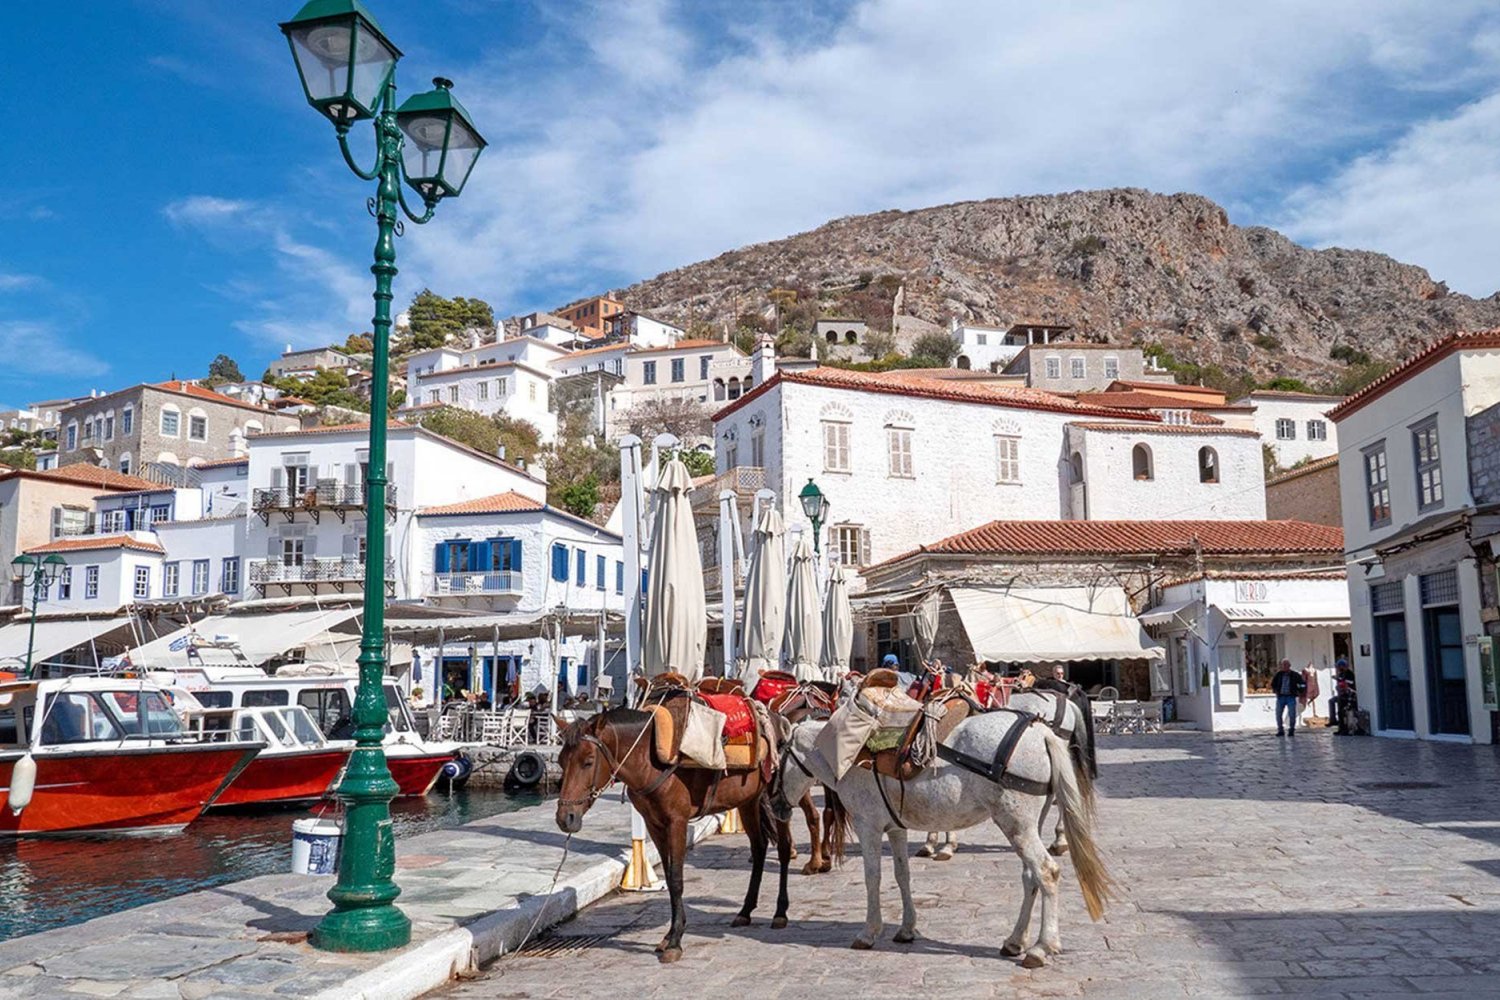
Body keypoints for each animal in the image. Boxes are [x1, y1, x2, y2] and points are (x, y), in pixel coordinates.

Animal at [555, 707, 792, 965]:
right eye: (560, 761)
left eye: (588, 761)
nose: (565, 817)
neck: (650, 761)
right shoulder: (654, 825)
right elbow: (669, 879)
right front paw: (668, 936)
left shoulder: (677, 823)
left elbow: (677, 880)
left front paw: (675, 941)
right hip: (748, 801)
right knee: (759, 848)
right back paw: (745, 911)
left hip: (778, 798)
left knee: (783, 849)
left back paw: (780, 913)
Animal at [774, 716, 1116, 965]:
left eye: (778, 757)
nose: (774, 803)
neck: (850, 755)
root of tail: (1041, 732)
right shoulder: (895, 829)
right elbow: (902, 875)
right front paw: (907, 929)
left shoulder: (868, 826)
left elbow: (873, 878)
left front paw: (869, 932)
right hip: (1029, 825)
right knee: (1031, 877)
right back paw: (1015, 941)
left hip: (1016, 824)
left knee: (1046, 872)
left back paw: (1041, 947)